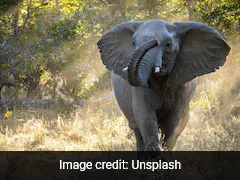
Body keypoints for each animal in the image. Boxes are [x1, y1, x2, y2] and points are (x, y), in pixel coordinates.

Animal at [97, 19, 231, 150]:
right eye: (133, 43)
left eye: (168, 45)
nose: (154, 41)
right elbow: (146, 119)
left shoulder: (181, 87)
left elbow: (171, 123)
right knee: (137, 131)